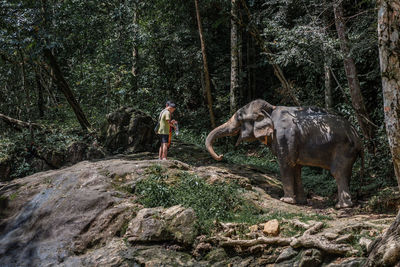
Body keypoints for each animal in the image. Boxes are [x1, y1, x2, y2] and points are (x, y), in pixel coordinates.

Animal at [206, 100, 362, 209]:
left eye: (239, 117)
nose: (221, 156)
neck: (271, 109)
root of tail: (356, 134)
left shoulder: (283, 136)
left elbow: (285, 165)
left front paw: (286, 201)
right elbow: (296, 168)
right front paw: (301, 202)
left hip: (343, 148)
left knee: (338, 172)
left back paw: (341, 206)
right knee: (346, 173)